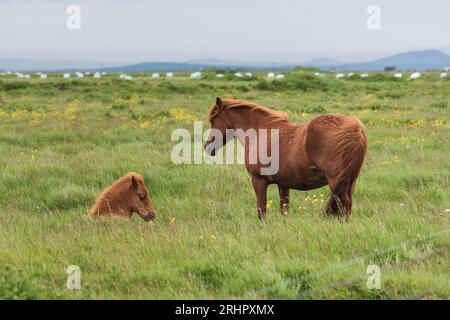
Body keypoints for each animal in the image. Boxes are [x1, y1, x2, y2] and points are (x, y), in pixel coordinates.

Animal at [206, 96, 368, 219]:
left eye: (213, 120)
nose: (207, 147)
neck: (260, 132)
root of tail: (356, 129)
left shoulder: (258, 181)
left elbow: (261, 211)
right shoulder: (283, 184)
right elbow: (284, 209)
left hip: (336, 182)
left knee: (344, 205)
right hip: (350, 182)